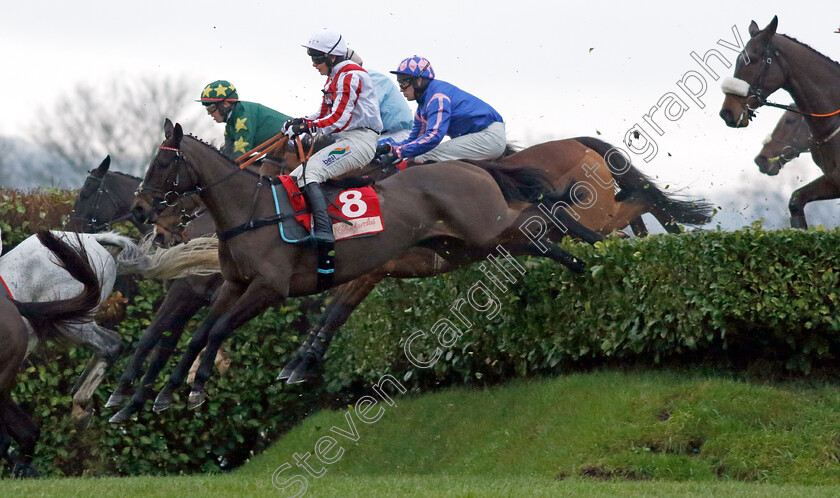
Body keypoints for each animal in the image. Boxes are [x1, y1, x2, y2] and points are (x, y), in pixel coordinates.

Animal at [131, 118, 600, 410]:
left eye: (163, 162)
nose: (139, 210)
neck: (253, 210)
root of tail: (473, 166)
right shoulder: (234, 284)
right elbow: (200, 334)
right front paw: (165, 394)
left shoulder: (270, 288)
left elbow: (219, 330)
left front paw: (194, 391)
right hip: (465, 244)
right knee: (535, 236)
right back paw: (582, 260)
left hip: (486, 226)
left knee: (540, 219)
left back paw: (591, 254)